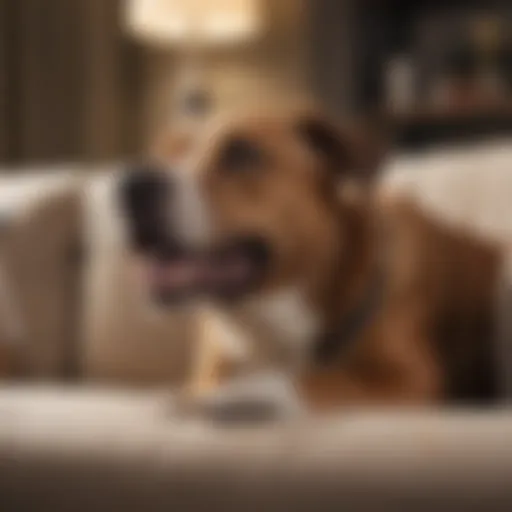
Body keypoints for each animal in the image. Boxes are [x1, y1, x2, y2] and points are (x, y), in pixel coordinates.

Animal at [118, 108, 506, 416]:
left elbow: (305, 380)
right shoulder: (210, 370)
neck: (269, 316)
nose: (131, 186)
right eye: (165, 153)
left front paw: (238, 396)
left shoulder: (411, 378)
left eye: (242, 153)